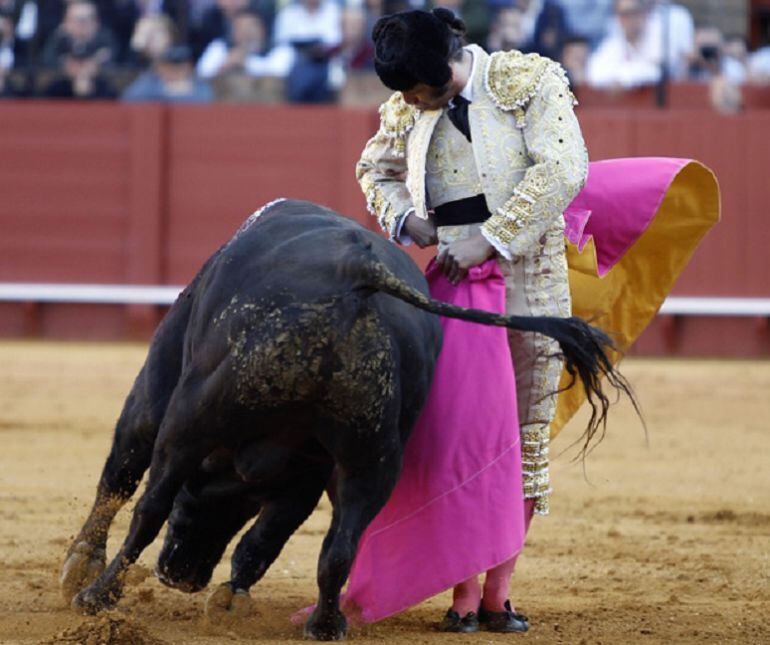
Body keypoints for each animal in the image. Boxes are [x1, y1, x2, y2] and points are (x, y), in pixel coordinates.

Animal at [61, 201, 632, 640]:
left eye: (195, 501)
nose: (180, 576)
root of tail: (357, 275)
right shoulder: (303, 475)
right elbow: (262, 540)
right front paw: (230, 598)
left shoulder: (161, 396)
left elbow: (124, 476)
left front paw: (79, 565)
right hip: (373, 456)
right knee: (342, 544)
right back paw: (327, 622)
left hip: (189, 420)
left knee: (146, 501)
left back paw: (96, 593)